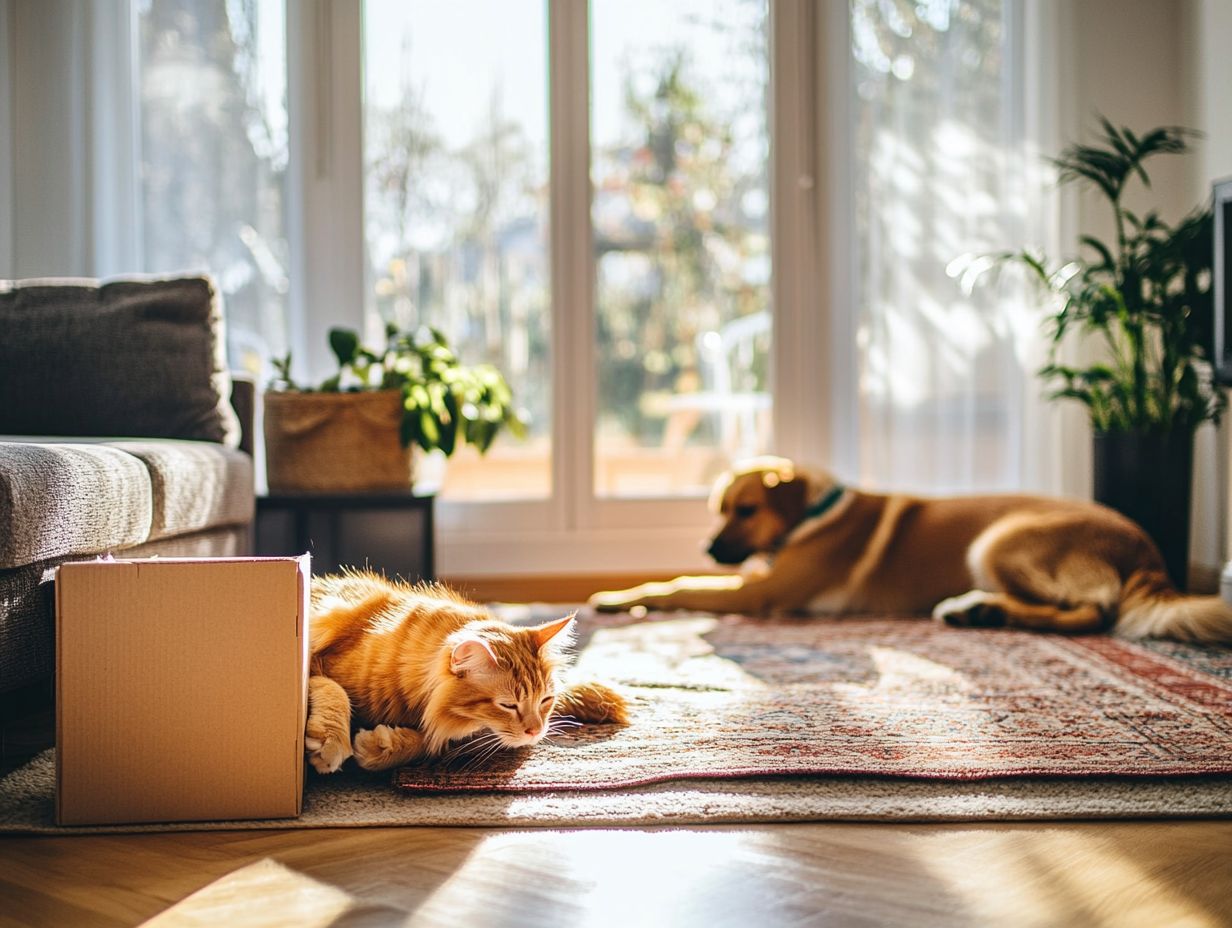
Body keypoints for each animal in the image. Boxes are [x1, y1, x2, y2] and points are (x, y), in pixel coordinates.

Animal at [304, 571, 630, 773]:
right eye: (508, 705)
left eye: (545, 701)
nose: (535, 731)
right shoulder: (317, 664)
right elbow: (334, 689)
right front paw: (333, 740)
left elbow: (429, 742)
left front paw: (381, 747)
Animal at [588, 455, 1232, 645]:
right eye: (719, 509)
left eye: (744, 511)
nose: (708, 546)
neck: (813, 513)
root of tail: (1146, 548)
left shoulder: (760, 593)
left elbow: (679, 586)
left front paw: (619, 599)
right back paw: (980, 611)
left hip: (999, 539)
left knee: (1092, 615)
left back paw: (977, 610)